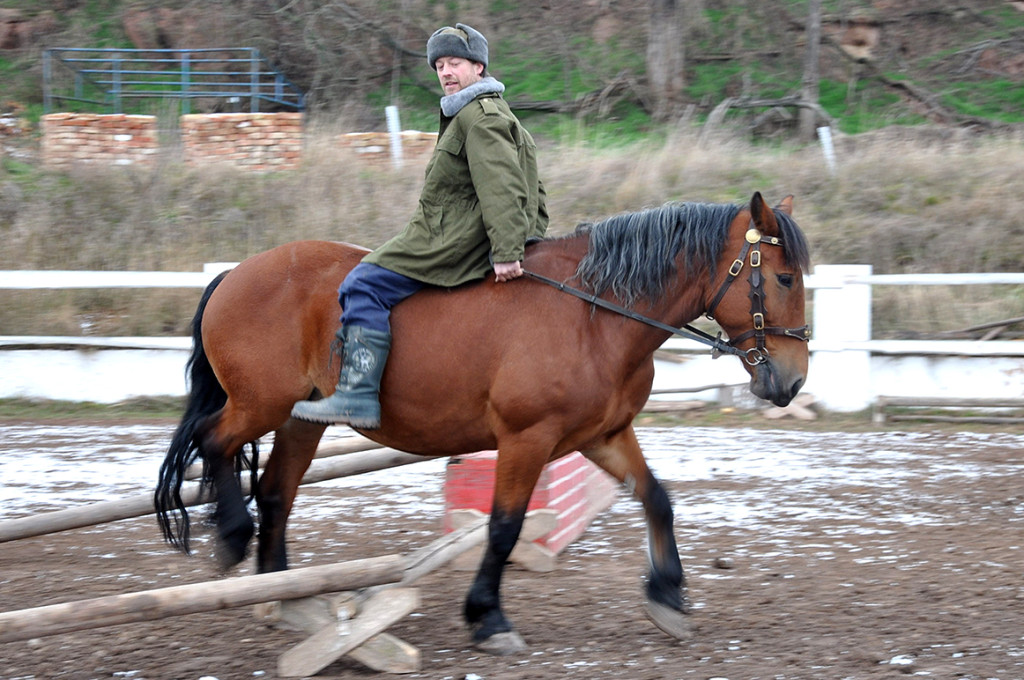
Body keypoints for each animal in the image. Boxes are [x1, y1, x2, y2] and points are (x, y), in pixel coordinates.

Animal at [153, 191, 806, 655]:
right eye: (783, 277)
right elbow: (503, 528)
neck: (595, 316)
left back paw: (282, 596)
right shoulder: (527, 439)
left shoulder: (603, 435)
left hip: (301, 420)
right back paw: (235, 541)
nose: (793, 382)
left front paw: (668, 595)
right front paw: (488, 618)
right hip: (259, 406)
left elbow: (657, 499)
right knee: (214, 443)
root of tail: (235, 273)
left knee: (276, 492)